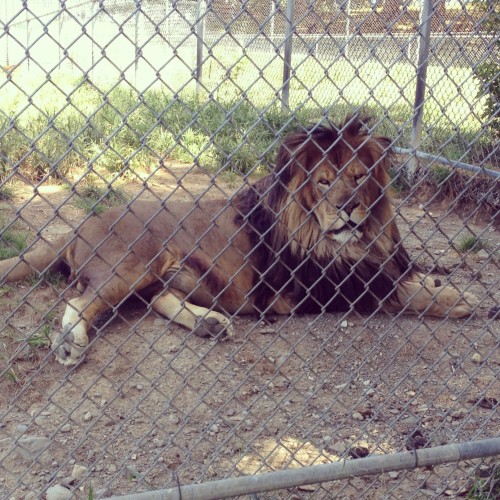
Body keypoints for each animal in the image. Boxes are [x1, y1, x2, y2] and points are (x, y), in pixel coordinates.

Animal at [0, 117, 476, 368]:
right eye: (324, 182)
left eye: (358, 177)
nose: (348, 208)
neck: (351, 240)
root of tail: (79, 226)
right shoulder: (321, 288)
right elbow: (399, 292)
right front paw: (456, 299)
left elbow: (404, 276)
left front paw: (440, 284)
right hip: (133, 264)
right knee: (80, 301)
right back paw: (71, 346)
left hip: (176, 275)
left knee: (157, 300)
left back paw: (210, 324)